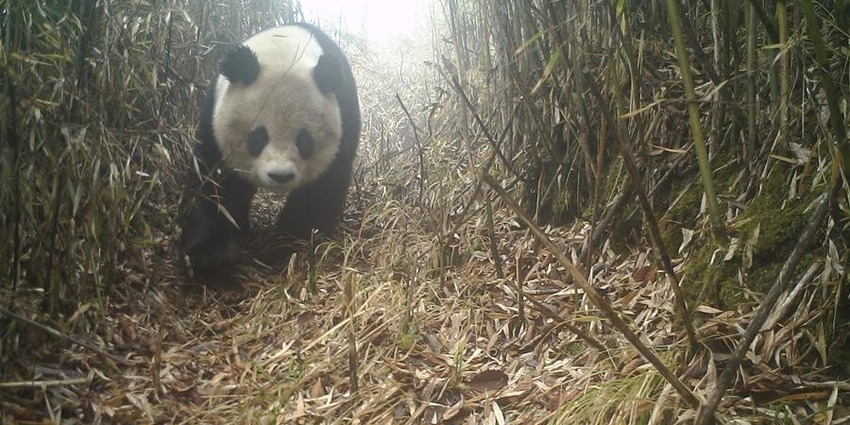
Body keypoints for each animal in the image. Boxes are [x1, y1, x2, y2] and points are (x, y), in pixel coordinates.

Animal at [181, 23, 360, 276]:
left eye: (304, 141)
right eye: (258, 137)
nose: (280, 176)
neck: (284, 51)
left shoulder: (344, 119)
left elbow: (319, 191)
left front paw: (286, 246)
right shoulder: (214, 121)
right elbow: (215, 184)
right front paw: (208, 257)